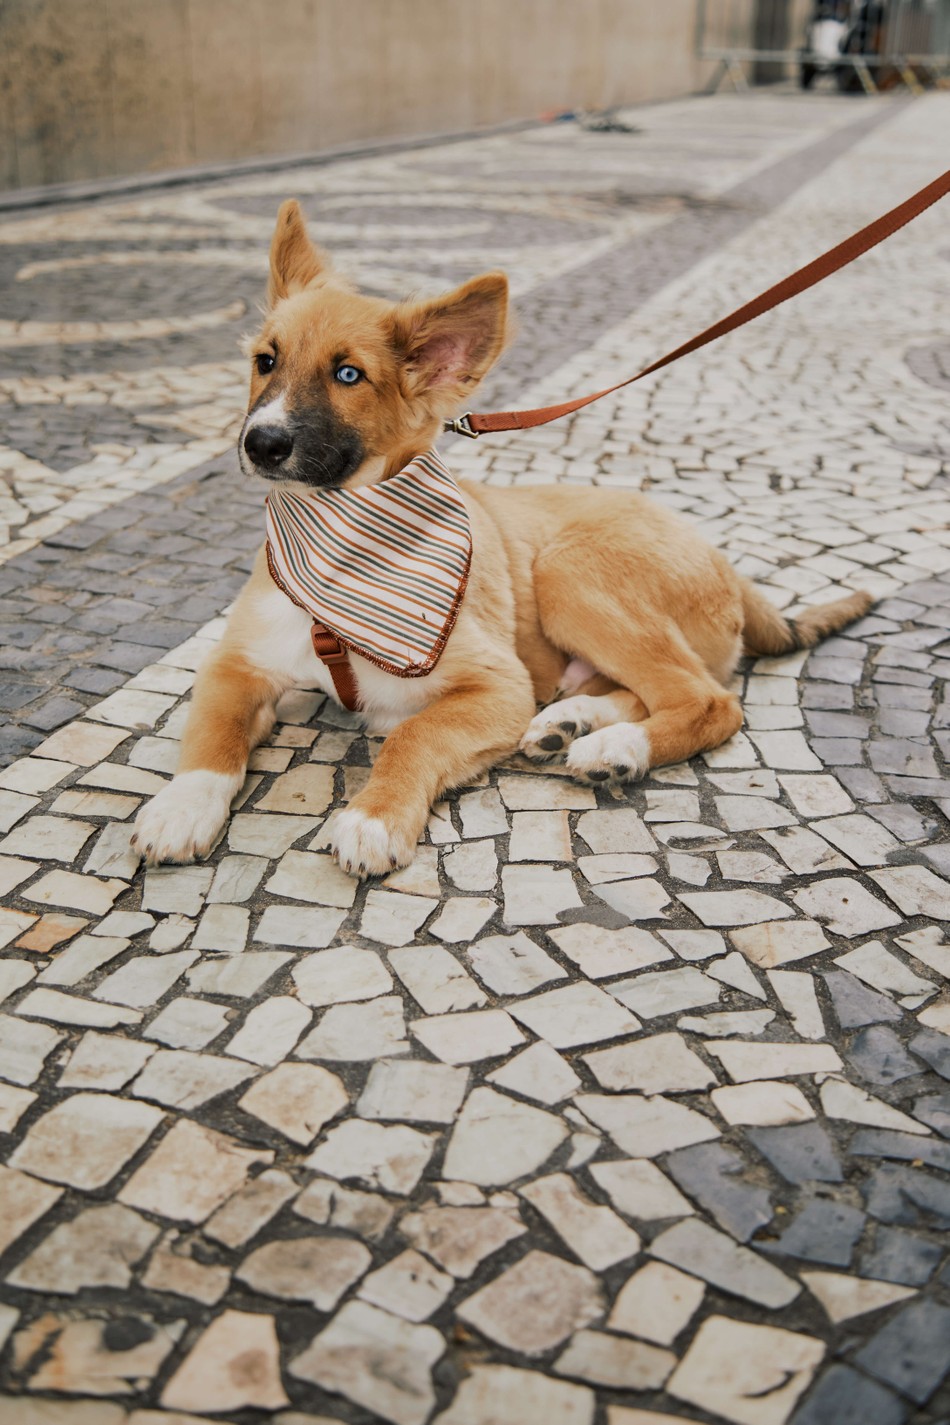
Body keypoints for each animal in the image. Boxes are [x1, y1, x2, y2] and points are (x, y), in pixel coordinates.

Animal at [131, 195, 871, 872]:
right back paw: (571, 723)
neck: (337, 545)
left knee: (710, 700)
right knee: (650, 689)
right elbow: (212, 736)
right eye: (265, 361)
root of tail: (724, 560)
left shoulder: (497, 686)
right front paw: (181, 807)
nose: (261, 443)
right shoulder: (237, 664)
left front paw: (374, 816)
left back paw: (614, 748)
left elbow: (412, 736)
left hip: (570, 571)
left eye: (348, 375)